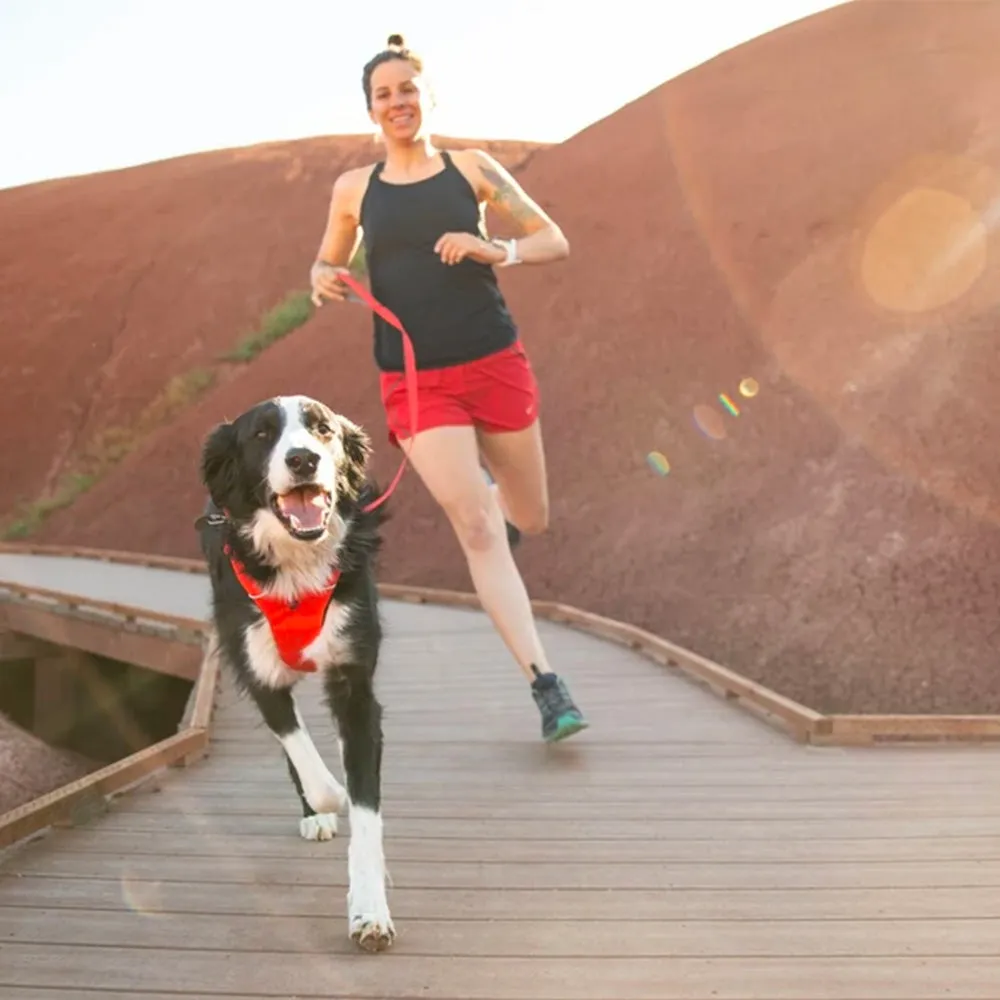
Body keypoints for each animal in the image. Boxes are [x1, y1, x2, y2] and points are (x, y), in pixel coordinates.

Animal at [195, 390, 394, 952]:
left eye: (323, 428)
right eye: (262, 434)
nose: (303, 459)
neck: (296, 564)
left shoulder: (353, 680)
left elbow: (366, 810)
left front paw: (369, 913)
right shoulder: (259, 674)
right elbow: (309, 761)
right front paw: (326, 801)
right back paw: (316, 814)